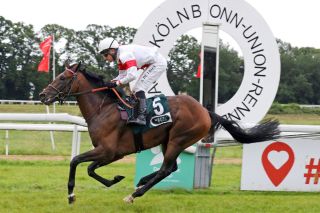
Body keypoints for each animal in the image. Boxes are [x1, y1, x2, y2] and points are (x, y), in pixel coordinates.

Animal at [38, 61, 280, 203]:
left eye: (62, 77)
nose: (42, 95)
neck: (104, 110)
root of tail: (206, 111)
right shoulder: (111, 153)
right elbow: (89, 168)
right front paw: (115, 179)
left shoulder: (108, 151)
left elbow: (76, 161)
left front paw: (71, 194)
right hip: (168, 140)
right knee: (170, 167)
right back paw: (142, 180)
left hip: (178, 139)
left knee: (165, 169)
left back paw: (135, 194)